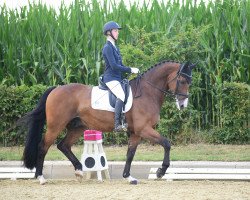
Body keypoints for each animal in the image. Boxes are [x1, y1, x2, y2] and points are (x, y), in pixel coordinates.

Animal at [22, 60, 195, 184]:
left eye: (189, 82)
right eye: (182, 81)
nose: (183, 105)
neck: (148, 92)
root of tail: (56, 89)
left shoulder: (135, 133)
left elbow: (130, 154)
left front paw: (128, 177)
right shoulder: (144, 129)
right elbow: (166, 144)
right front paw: (161, 171)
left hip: (78, 127)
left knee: (63, 145)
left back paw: (79, 170)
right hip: (55, 126)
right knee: (43, 146)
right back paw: (41, 177)